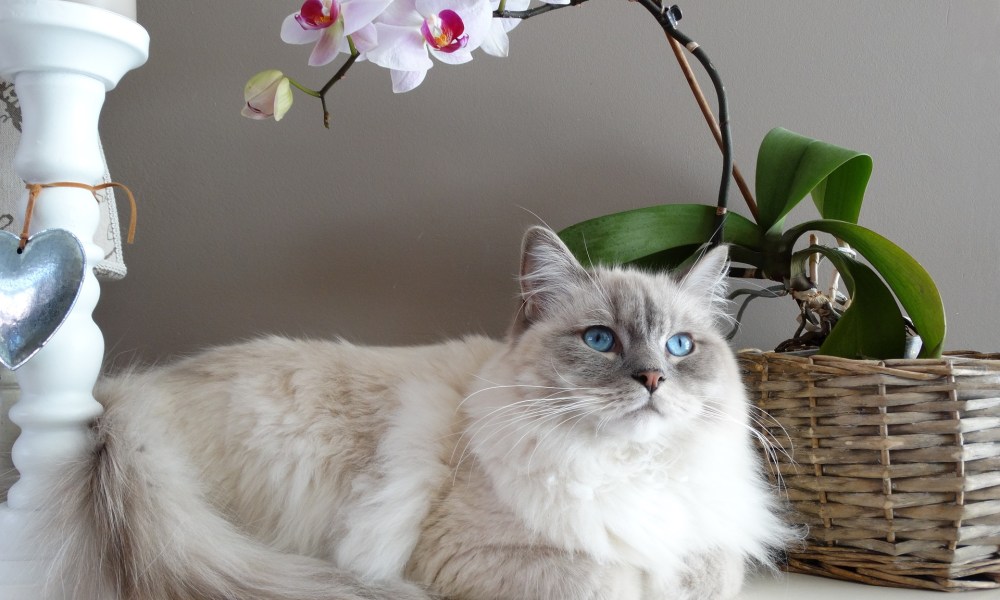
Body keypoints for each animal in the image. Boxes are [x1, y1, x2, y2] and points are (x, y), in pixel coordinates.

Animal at [39, 226, 792, 600]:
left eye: (680, 346)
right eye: (601, 340)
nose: (654, 378)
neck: (626, 471)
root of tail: (129, 395)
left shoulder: (711, 545)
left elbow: (707, 571)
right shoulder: (470, 558)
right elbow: (615, 578)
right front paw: (647, 580)